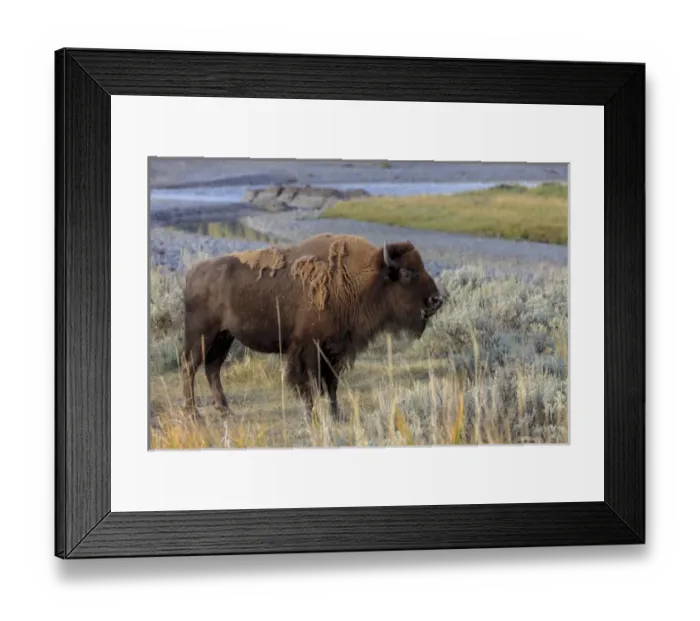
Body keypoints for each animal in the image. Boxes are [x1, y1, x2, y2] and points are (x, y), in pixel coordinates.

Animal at [179, 233, 444, 418]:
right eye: (407, 273)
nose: (436, 300)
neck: (358, 279)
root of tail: (193, 273)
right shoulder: (309, 348)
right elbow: (310, 384)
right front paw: (312, 415)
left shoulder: (335, 349)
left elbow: (331, 384)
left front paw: (337, 415)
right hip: (202, 334)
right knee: (189, 366)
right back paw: (194, 413)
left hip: (224, 336)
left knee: (212, 368)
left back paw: (225, 410)